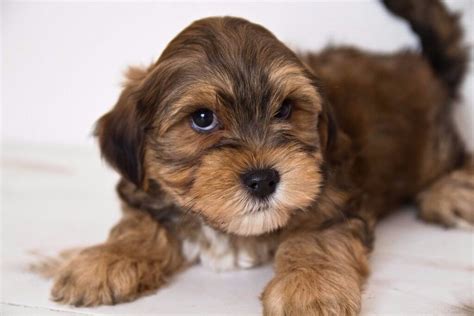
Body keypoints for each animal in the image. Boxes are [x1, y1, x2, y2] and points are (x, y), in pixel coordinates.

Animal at [43, 0, 470, 314]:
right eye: (202, 119)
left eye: (285, 110)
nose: (264, 179)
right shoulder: (145, 187)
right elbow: (139, 224)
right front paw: (104, 261)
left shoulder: (332, 196)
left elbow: (315, 238)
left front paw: (309, 287)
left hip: (433, 147)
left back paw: (450, 193)